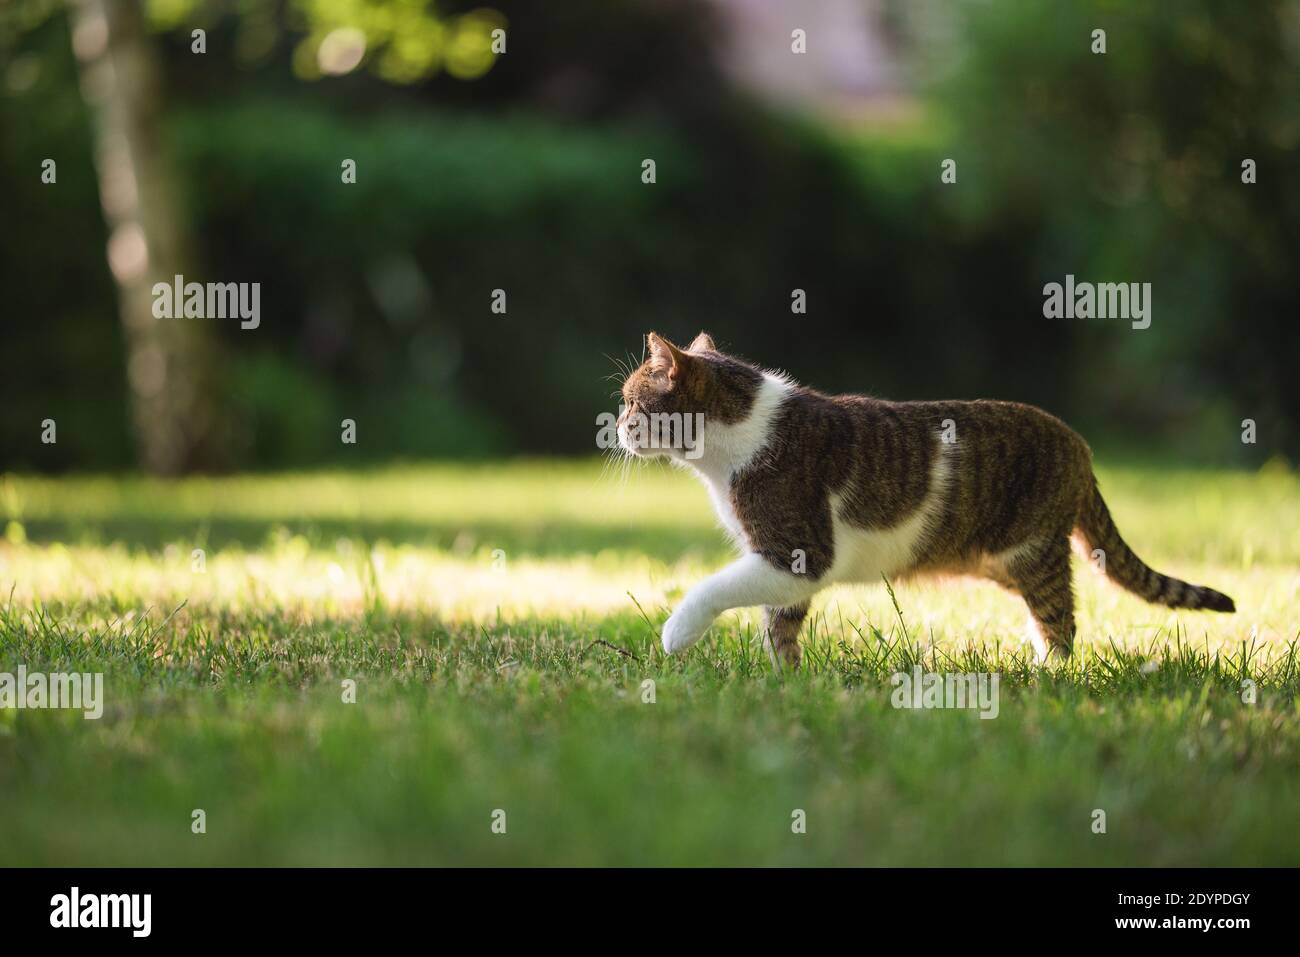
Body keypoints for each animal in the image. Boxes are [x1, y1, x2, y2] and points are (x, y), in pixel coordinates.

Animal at [613, 332, 1232, 670]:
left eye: (631, 402)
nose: (615, 426)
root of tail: (1082, 447)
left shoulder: (797, 552)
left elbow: (714, 587)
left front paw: (677, 633)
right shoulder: (787, 569)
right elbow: (779, 627)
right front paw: (786, 683)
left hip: (1031, 551)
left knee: (1061, 620)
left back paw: (1048, 679)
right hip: (998, 561)